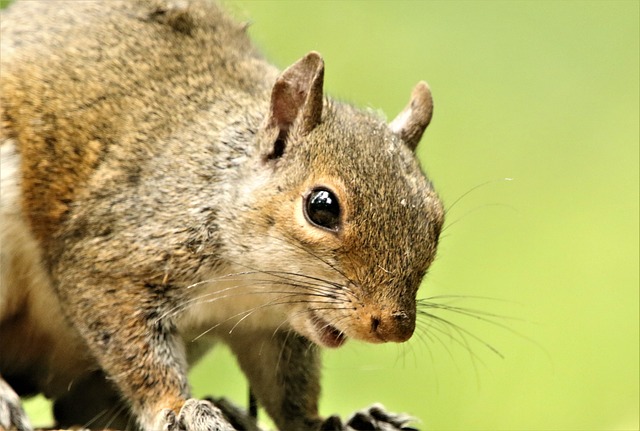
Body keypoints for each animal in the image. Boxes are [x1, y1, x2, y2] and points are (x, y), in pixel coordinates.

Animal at [1, 0, 444, 431]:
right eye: (321, 206)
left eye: (436, 220)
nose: (394, 326)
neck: (250, 284)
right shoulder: (113, 258)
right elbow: (136, 351)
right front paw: (178, 408)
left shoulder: (270, 329)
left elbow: (289, 390)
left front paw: (327, 421)